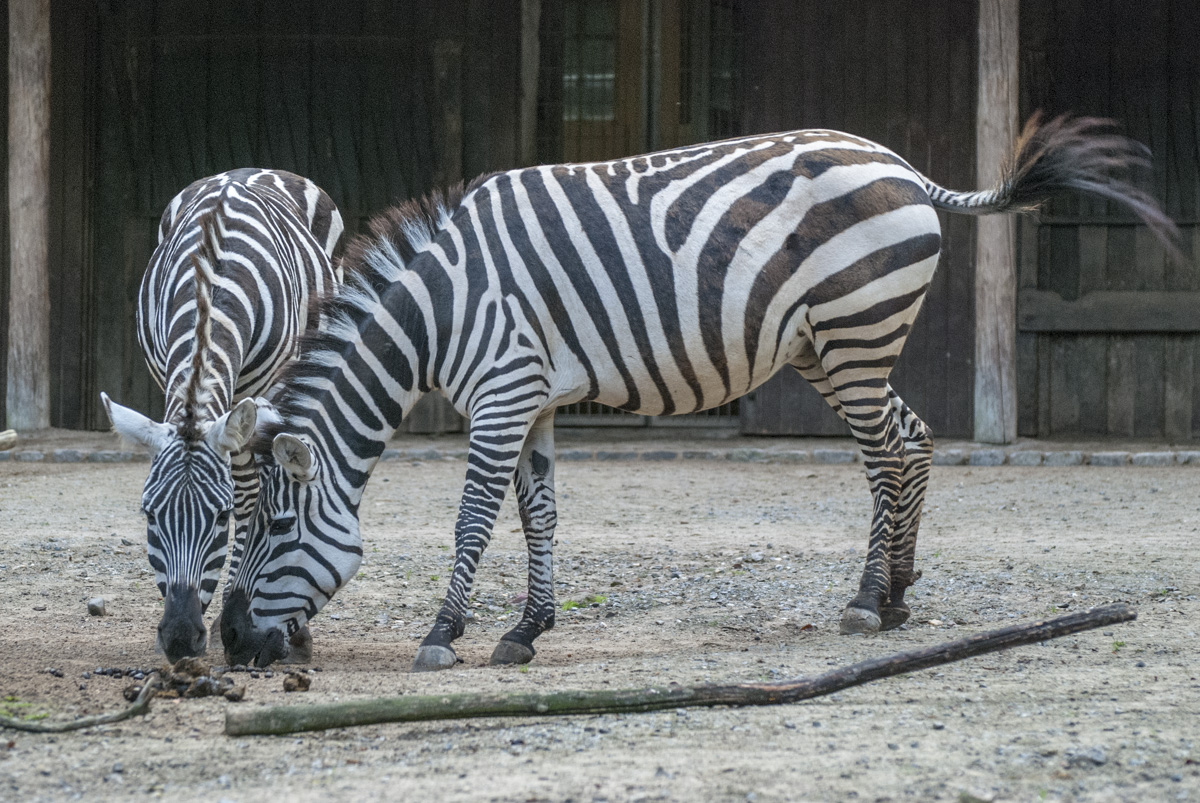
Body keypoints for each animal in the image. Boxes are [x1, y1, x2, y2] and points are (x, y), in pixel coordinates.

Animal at [100, 168, 344, 663]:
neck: (211, 282)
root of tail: (256, 169)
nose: (179, 637)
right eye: (148, 515)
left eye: (220, 517)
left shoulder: (272, 391)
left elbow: (259, 493)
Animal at [219, 116, 1178, 669]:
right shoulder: (533, 399)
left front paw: (443, 632)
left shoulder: (500, 393)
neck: (441, 310)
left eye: (274, 528)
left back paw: (868, 599)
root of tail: (904, 168)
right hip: (833, 347)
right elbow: (540, 514)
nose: (230, 645)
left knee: (884, 454)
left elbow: (474, 518)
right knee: (912, 438)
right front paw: (528, 629)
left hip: (856, 329)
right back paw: (901, 593)